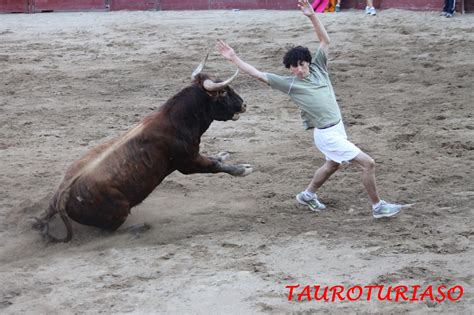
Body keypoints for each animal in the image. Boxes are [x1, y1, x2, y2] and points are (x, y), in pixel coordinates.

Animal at [34, 55, 252, 243]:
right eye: (223, 92)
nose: (243, 105)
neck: (176, 120)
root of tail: (62, 196)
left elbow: (215, 160)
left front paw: (223, 155)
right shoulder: (188, 162)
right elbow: (214, 166)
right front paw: (243, 169)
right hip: (120, 209)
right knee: (107, 233)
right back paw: (139, 227)